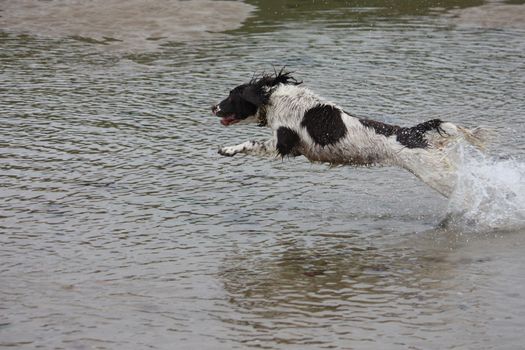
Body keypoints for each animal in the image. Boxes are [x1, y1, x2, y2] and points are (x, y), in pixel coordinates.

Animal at [211, 68, 486, 197]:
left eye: (231, 96)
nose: (212, 107)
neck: (274, 97)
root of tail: (411, 132)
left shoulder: (283, 144)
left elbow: (250, 143)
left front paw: (228, 149)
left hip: (436, 174)